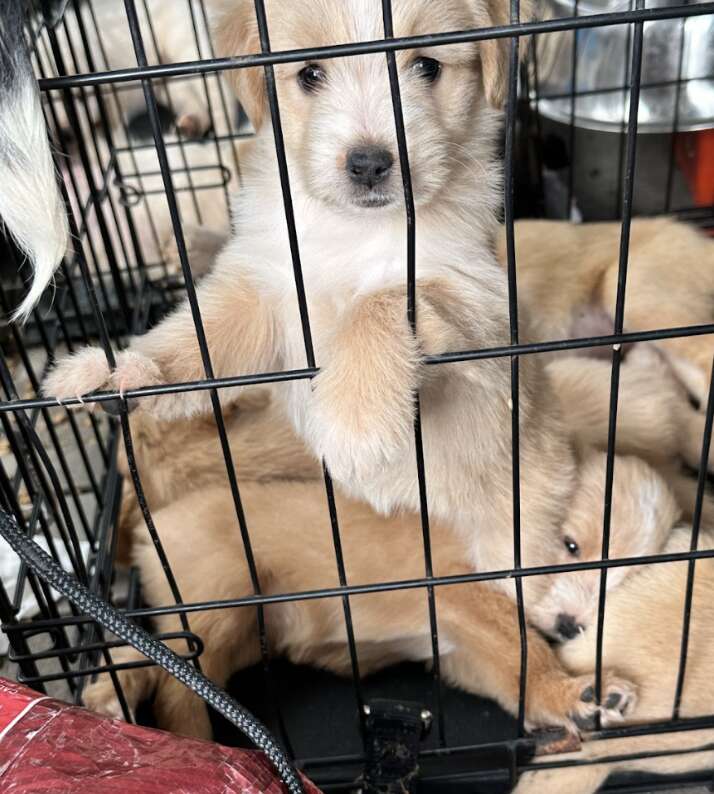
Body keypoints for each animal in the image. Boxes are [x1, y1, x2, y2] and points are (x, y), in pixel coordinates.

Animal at [83, 400, 672, 740]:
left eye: (620, 579)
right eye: (570, 543)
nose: (573, 627)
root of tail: (149, 520)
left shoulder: (454, 651)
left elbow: (511, 673)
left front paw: (561, 704)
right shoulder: (460, 592)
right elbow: (521, 647)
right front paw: (570, 692)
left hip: (231, 632)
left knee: (149, 658)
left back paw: (114, 701)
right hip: (222, 601)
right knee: (171, 678)